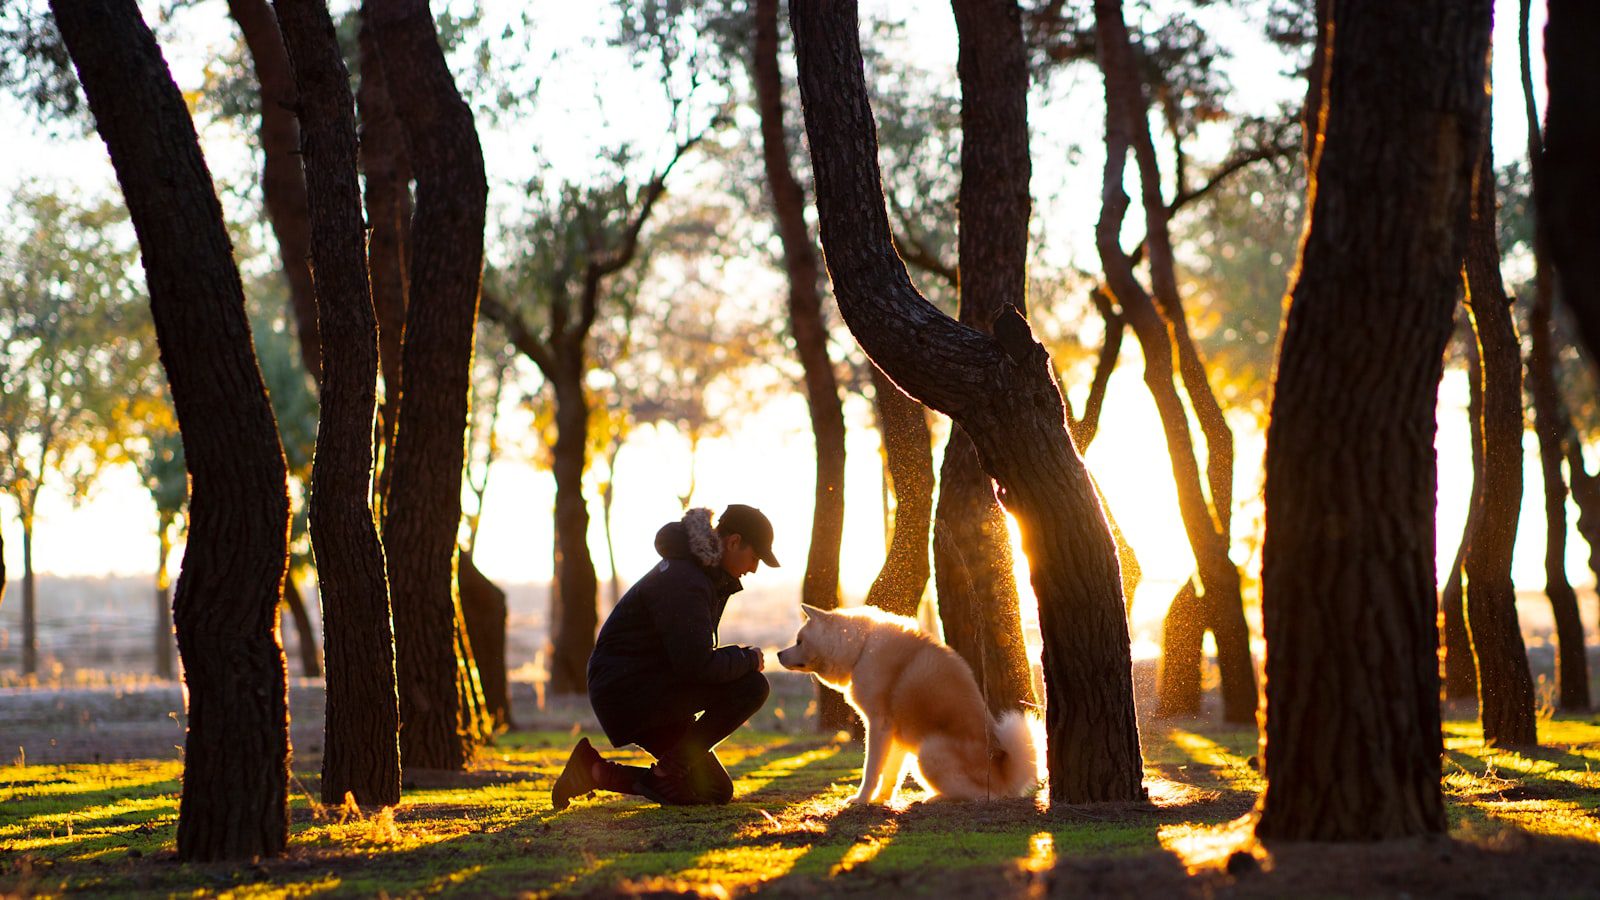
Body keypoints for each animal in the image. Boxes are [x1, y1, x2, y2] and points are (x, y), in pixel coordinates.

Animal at [771, 602, 1036, 797]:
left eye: (799, 641)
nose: (778, 654)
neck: (861, 648)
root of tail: (1004, 775)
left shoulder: (878, 726)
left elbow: (871, 771)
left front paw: (861, 799)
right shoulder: (897, 734)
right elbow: (891, 775)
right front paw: (882, 801)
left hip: (927, 752)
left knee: (981, 795)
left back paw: (936, 798)